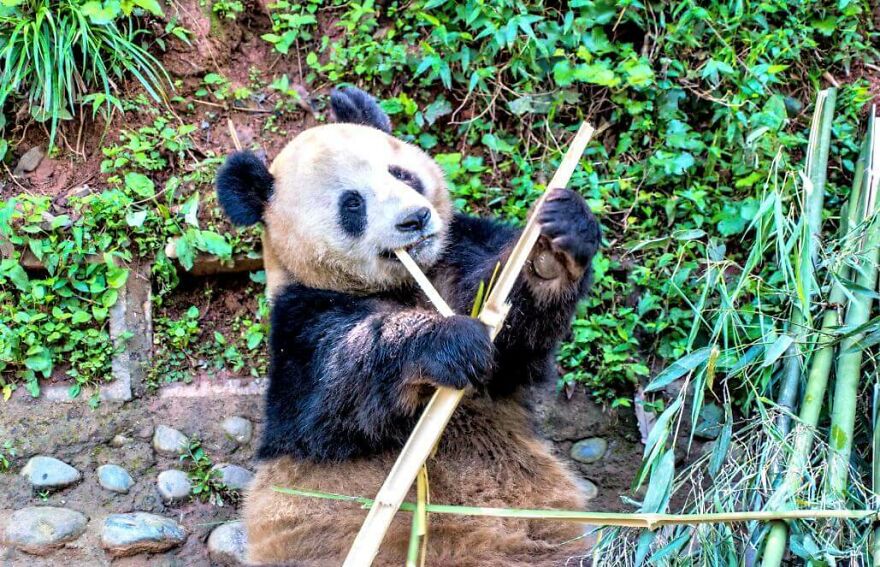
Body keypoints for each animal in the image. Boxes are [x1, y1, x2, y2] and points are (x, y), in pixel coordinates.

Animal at [216, 87, 602, 566]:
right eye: (353, 204)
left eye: (402, 174)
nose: (415, 219)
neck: (406, 282)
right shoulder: (298, 321)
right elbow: (336, 390)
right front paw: (448, 344)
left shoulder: (456, 257)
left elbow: (516, 343)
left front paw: (552, 250)